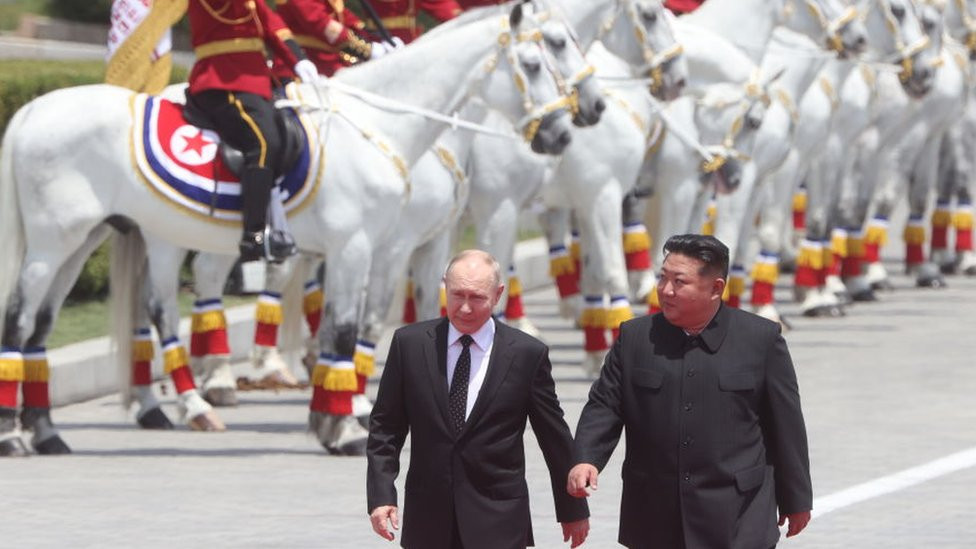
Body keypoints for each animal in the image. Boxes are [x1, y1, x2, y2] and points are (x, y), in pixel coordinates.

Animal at [0, 4, 572, 456]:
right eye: (535, 61)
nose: (565, 130)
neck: (381, 126)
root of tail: (29, 111)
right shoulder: (359, 247)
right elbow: (345, 328)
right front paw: (345, 427)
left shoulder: (393, 247)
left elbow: (358, 325)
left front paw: (335, 416)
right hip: (62, 244)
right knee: (27, 319)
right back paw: (25, 432)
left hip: (86, 241)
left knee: (48, 324)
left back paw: (50, 431)